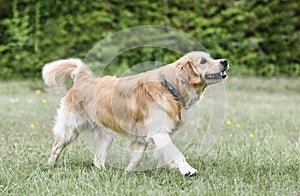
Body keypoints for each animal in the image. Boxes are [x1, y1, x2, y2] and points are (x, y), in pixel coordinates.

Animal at [42, 51, 230, 176]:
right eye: (203, 61)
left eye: (210, 58)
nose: (225, 61)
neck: (170, 88)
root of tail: (83, 79)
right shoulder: (159, 132)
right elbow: (176, 153)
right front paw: (187, 170)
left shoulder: (143, 137)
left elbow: (139, 158)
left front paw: (128, 173)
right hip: (69, 129)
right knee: (56, 146)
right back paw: (49, 166)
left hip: (106, 135)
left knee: (98, 158)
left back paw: (104, 172)